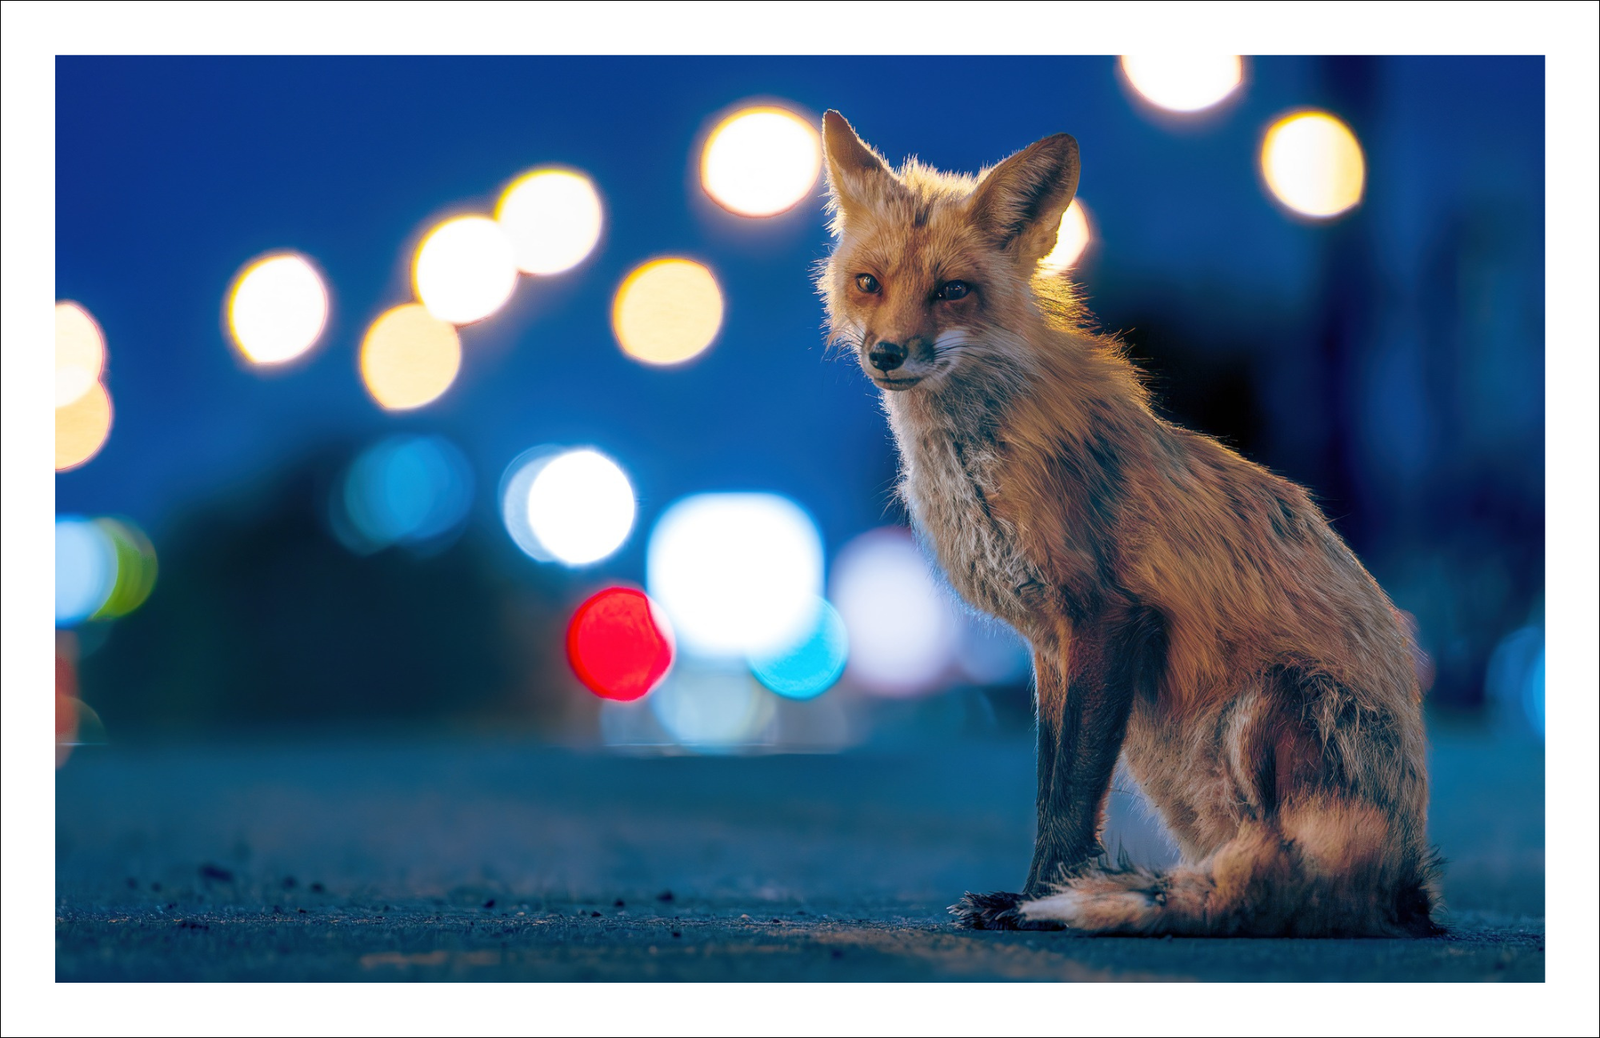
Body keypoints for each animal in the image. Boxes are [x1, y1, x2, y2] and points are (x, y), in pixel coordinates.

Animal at [815, 111, 1441, 936]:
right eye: (869, 283)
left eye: (952, 292)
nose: (886, 353)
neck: (975, 459)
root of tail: (1411, 881)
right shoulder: (1050, 642)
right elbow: (1050, 787)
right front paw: (1036, 895)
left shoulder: (1106, 616)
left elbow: (1070, 799)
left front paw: (1036, 904)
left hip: (1269, 704)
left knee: (1299, 879)